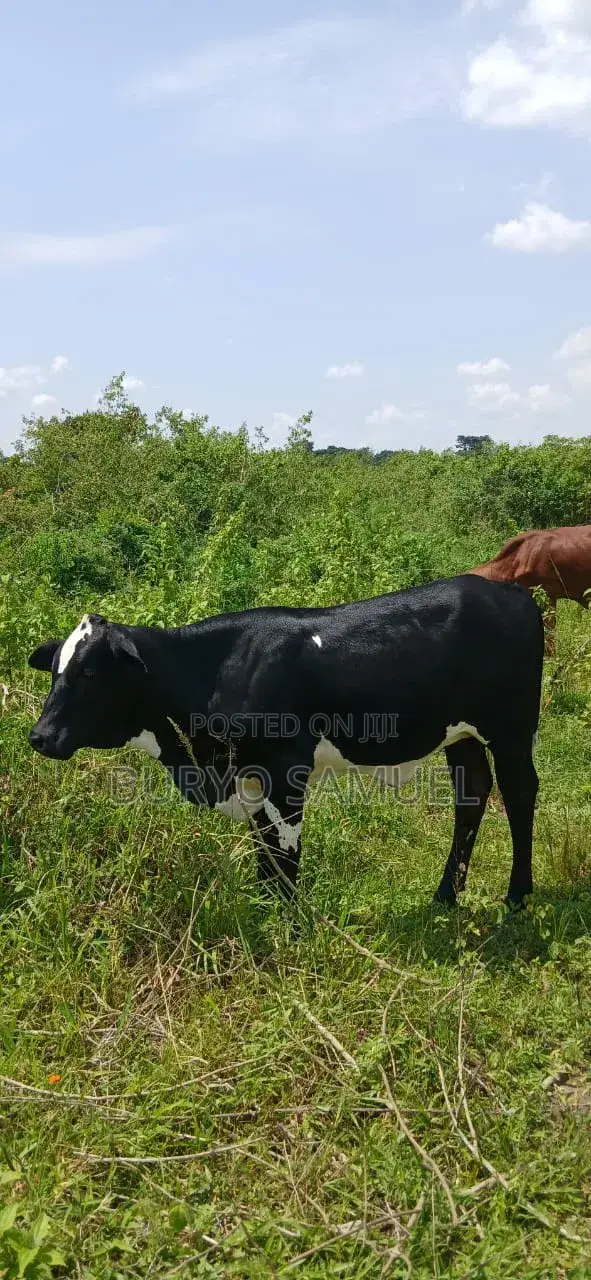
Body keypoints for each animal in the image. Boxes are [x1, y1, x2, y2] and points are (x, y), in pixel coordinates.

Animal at [27, 575, 544, 910]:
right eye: (55, 671)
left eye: (90, 673)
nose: (40, 736)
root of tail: (507, 590)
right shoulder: (250, 777)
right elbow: (265, 853)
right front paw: (264, 911)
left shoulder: (285, 770)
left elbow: (285, 852)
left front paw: (288, 925)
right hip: (462, 735)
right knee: (471, 796)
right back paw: (446, 897)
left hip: (512, 730)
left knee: (520, 794)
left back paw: (517, 896)